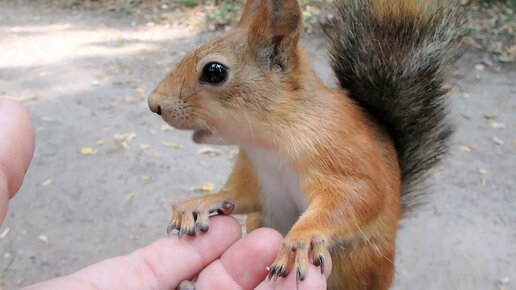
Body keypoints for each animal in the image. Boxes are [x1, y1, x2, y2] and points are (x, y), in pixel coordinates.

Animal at [146, 0, 464, 288]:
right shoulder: (255, 173)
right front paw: (201, 203)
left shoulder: (338, 149)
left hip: (358, 263)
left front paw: (301, 240)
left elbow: (360, 194)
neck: (268, 143)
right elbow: (239, 194)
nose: (154, 104)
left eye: (214, 71)